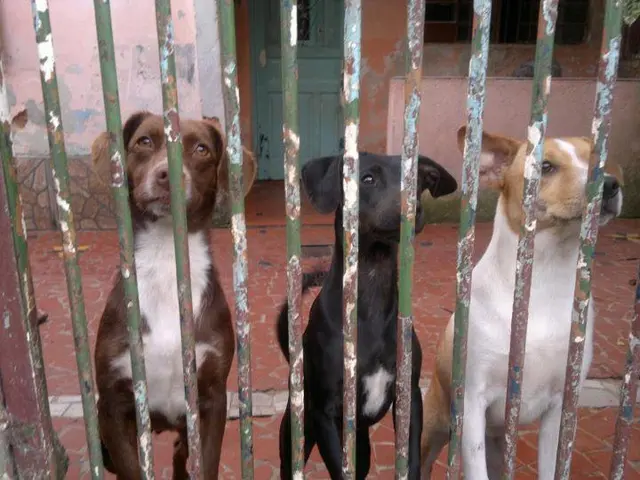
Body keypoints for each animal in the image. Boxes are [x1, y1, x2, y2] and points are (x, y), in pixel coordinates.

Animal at [92, 111, 256, 479]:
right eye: (144, 141)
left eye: (201, 149)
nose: (167, 175)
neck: (166, 257)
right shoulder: (113, 405)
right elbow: (132, 469)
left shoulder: (211, 400)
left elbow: (206, 463)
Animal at [276, 152, 458, 479]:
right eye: (367, 179)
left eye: (417, 179)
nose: (412, 208)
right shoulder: (324, 413)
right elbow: (339, 470)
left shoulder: (410, 397)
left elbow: (411, 459)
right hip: (297, 437)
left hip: (361, 448)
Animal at [420, 127, 624, 479]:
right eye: (546, 166)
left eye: (598, 159)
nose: (611, 184)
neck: (543, 277)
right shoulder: (473, 404)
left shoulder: (560, 409)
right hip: (434, 428)